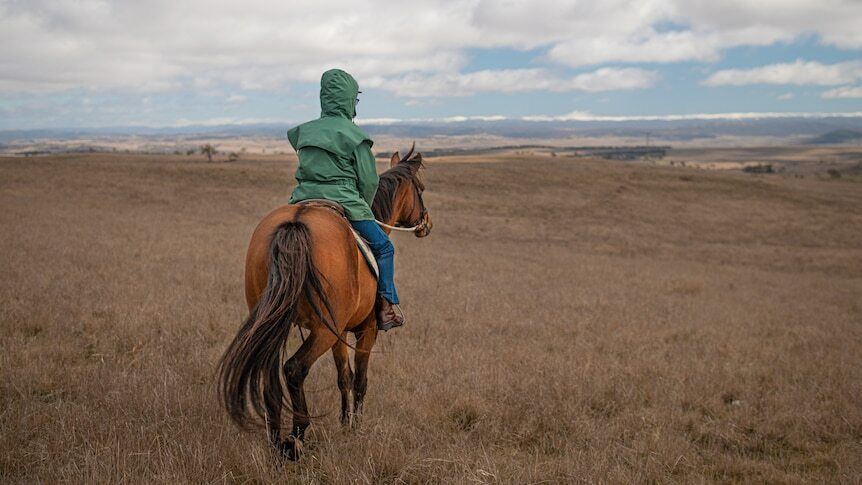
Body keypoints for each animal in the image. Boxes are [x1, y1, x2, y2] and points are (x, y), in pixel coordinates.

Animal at [216, 146, 432, 460]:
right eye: (421, 189)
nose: (426, 223)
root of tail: (296, 221)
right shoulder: (366, 331)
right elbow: (360, 380)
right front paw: (356, 427)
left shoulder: (339, 333)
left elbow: (344, 376)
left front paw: (344, 423)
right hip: (322, 331)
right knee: (294, 369)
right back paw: (295, 438)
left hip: (283, 324)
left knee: (271, 377)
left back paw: (275, 443)